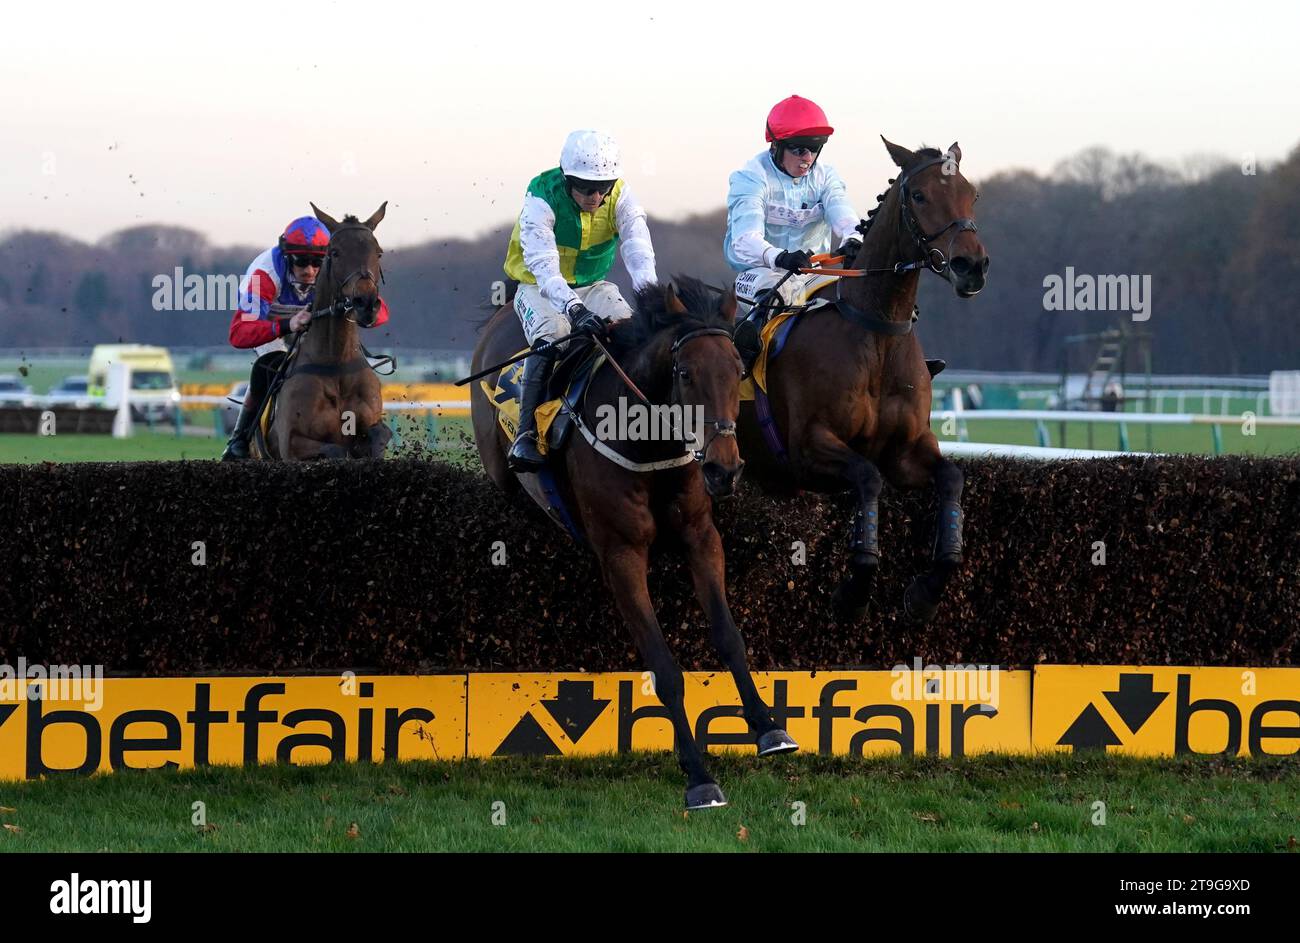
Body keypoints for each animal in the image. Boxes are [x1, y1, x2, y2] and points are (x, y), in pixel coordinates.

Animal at [475, 274, 800, 811]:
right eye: (685, 373)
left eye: (738, 369)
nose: (725, 470)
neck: (648, 444)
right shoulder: (622, 554)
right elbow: (664, 668)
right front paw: (699, 776)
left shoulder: (701, 537)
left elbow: (730, 637)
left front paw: (769, 728)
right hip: (501, 466)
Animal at [738, 139, 987, 621]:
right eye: (919, 195)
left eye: (973, 194)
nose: (972, 266)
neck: (877, 332)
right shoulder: (809, 447)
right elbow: (868, 477)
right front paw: (854, 588)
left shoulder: (906, 451)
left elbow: (951, 477)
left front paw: (927, 590)